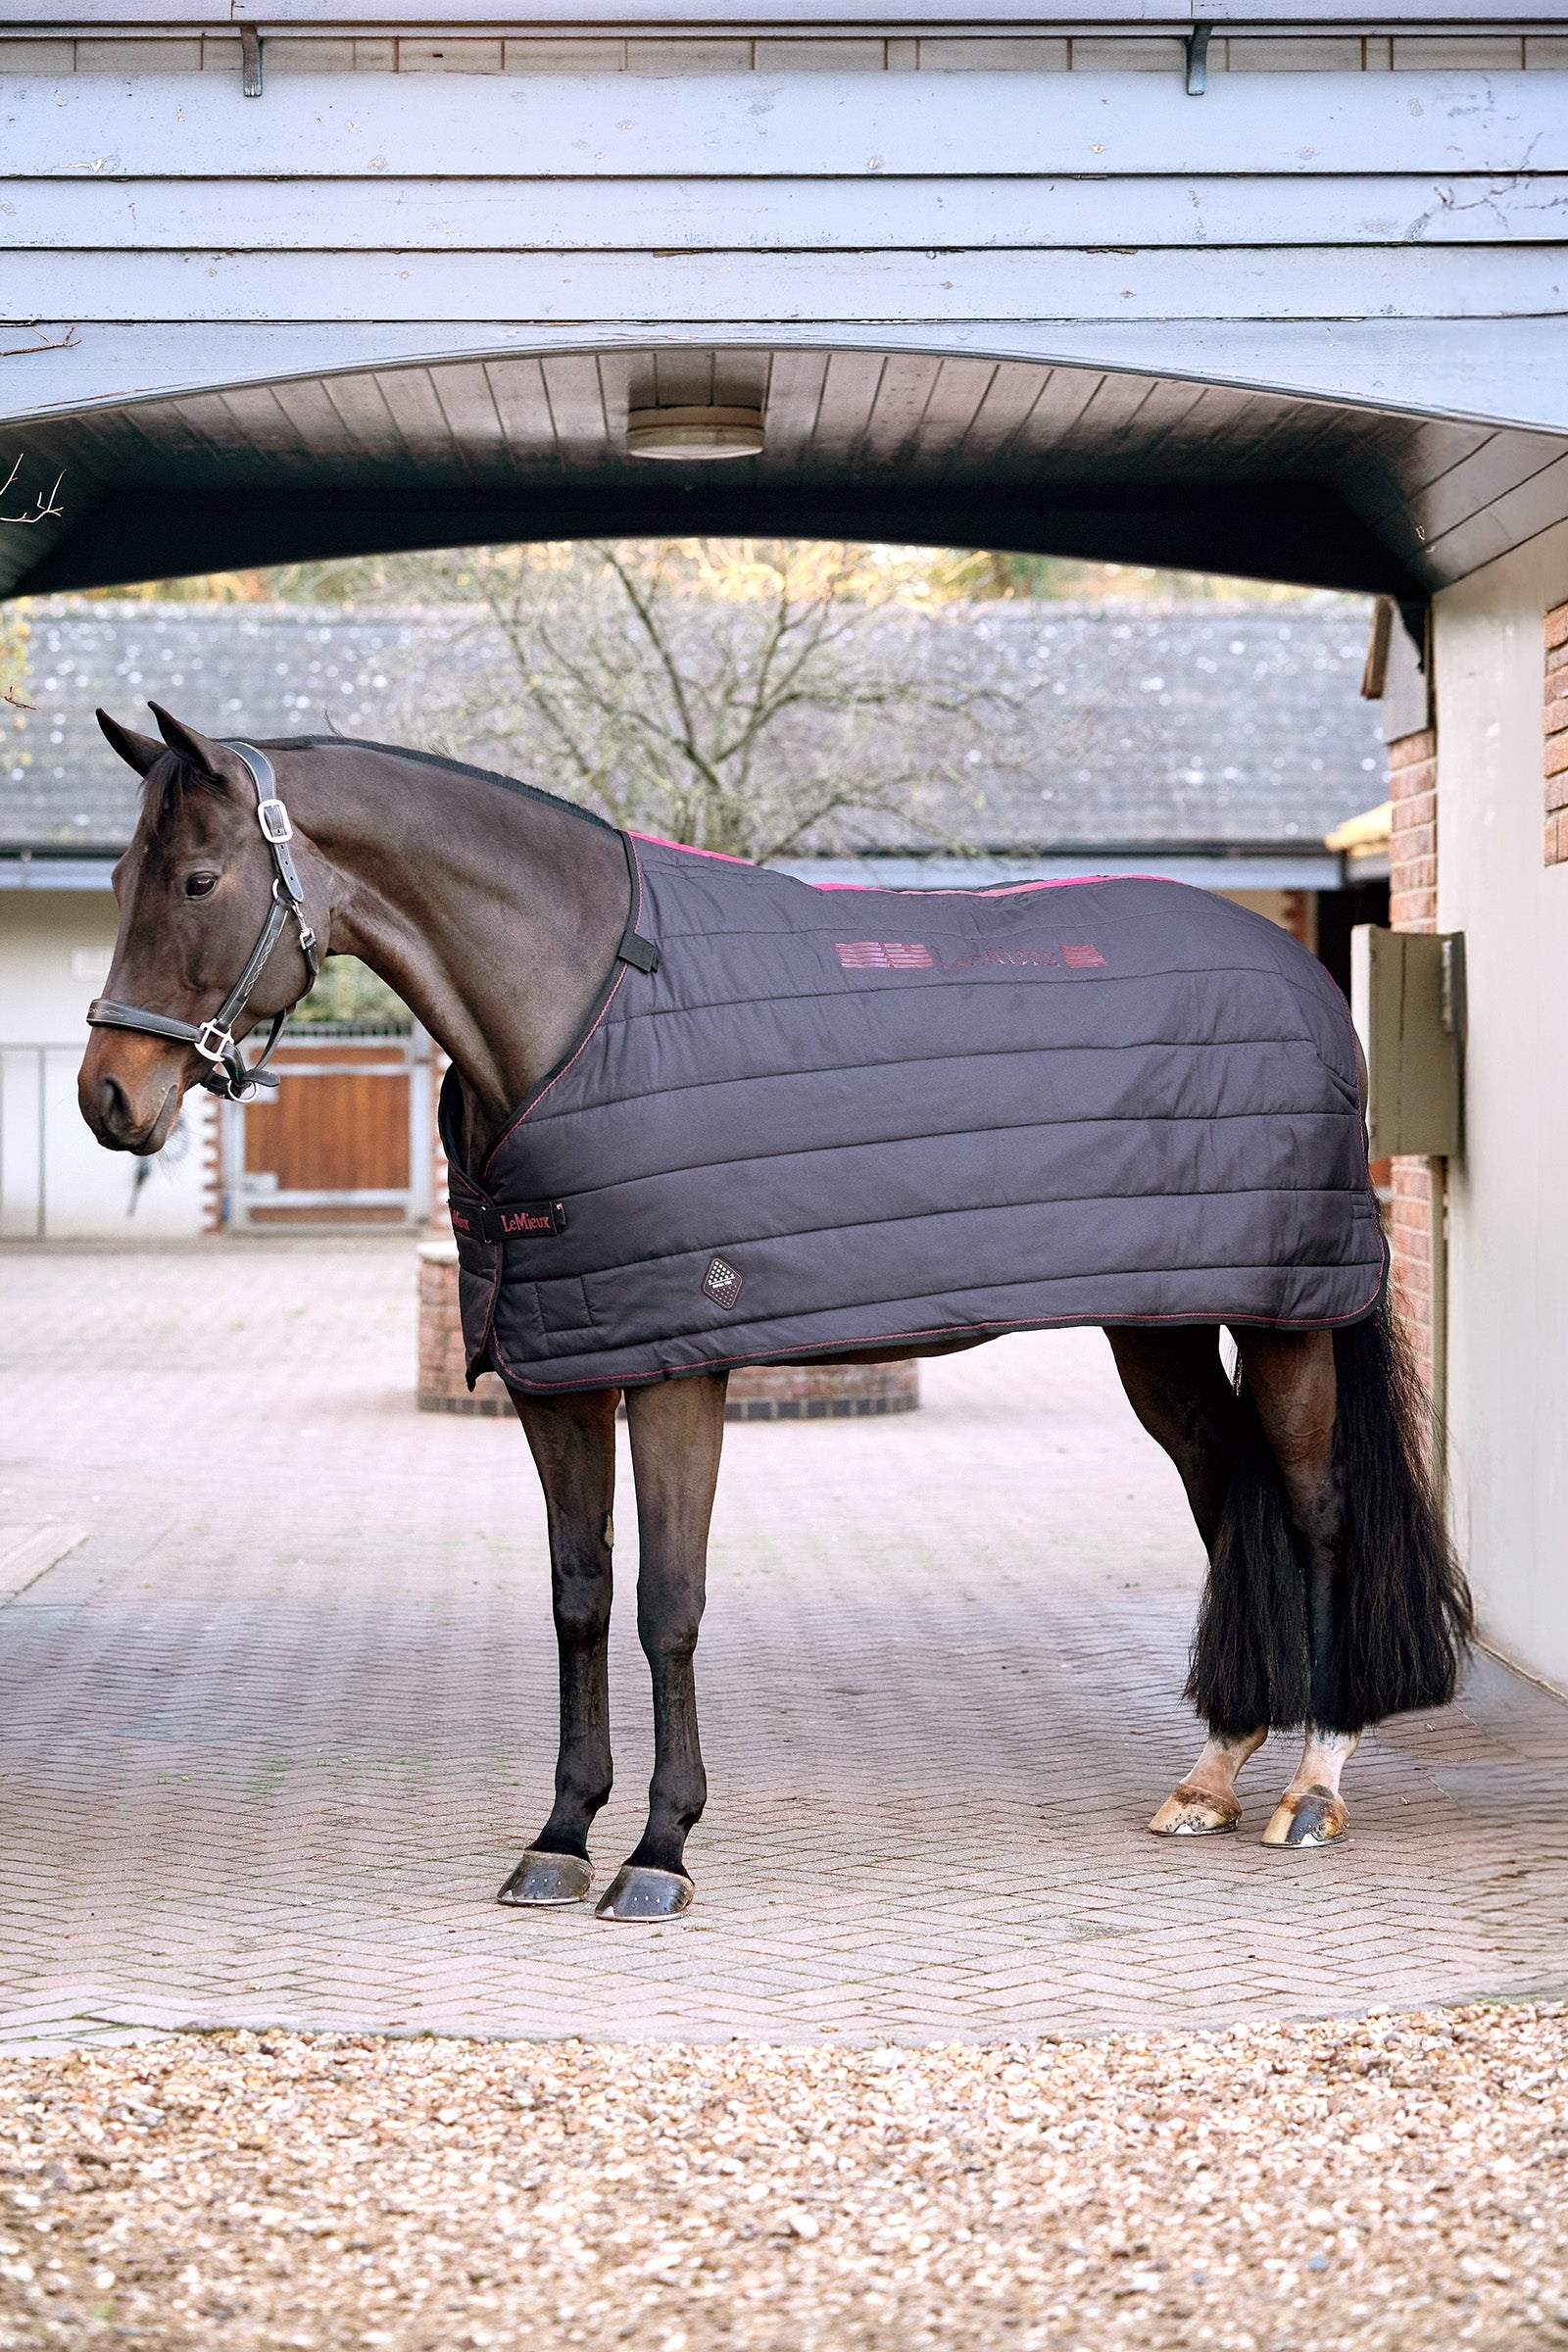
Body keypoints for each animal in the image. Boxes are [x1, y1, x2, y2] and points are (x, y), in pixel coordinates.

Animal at [78, 704, 1472, 1922]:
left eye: (198, 880)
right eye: (117, 877)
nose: (109, 1098)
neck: (577, 1005)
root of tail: (1306, 978)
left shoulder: (677, 1364)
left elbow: (667, 1606)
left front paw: (659, 1852)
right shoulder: (558, 1370)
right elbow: (579, 1597)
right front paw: (558, 1839)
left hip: (1289, 1320)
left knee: (1313, 1508)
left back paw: (1311, 1784)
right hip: (1163, 1327)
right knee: (1224, 1490)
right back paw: (1213, 1773)